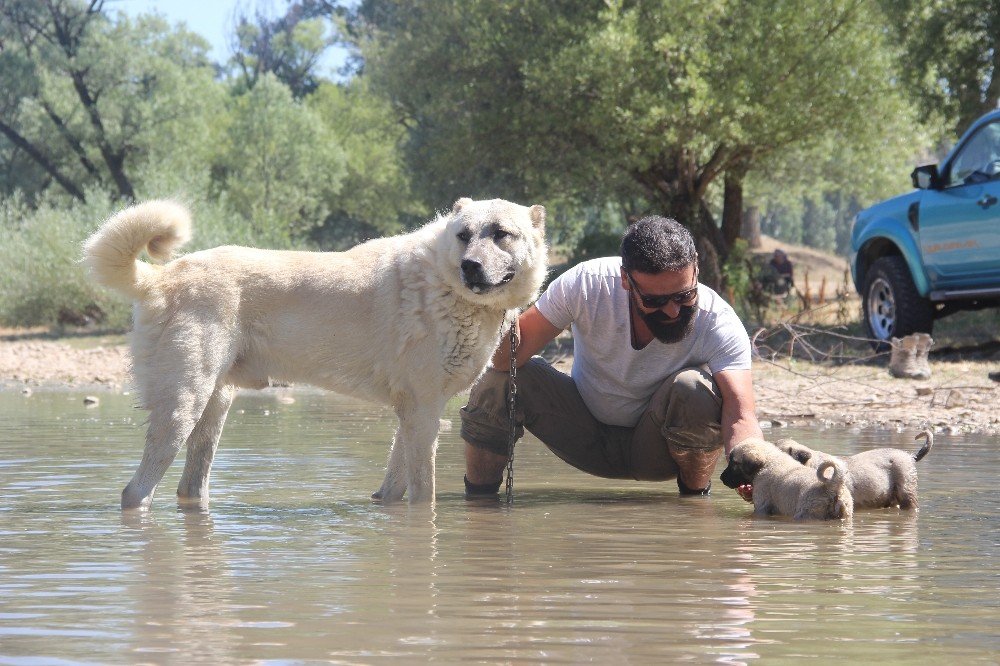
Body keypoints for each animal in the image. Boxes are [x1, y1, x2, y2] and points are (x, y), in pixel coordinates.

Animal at [85, 195, 552, 506]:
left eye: (501, 235)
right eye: (464, 235)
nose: (470, 266)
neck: (445, 285)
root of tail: (161, 277)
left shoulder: (414, 413)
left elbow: (392, 486)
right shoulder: (423, 411)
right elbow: (424, 496)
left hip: (214, 410)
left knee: (189, 488)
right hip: (183, 407)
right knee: (135, 492)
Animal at [720, 438, 852, 520]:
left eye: (733, 462)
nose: (721, 478)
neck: (769, 461)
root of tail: (832, 485)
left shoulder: (761, 507)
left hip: (808, 514)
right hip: (845, 515)